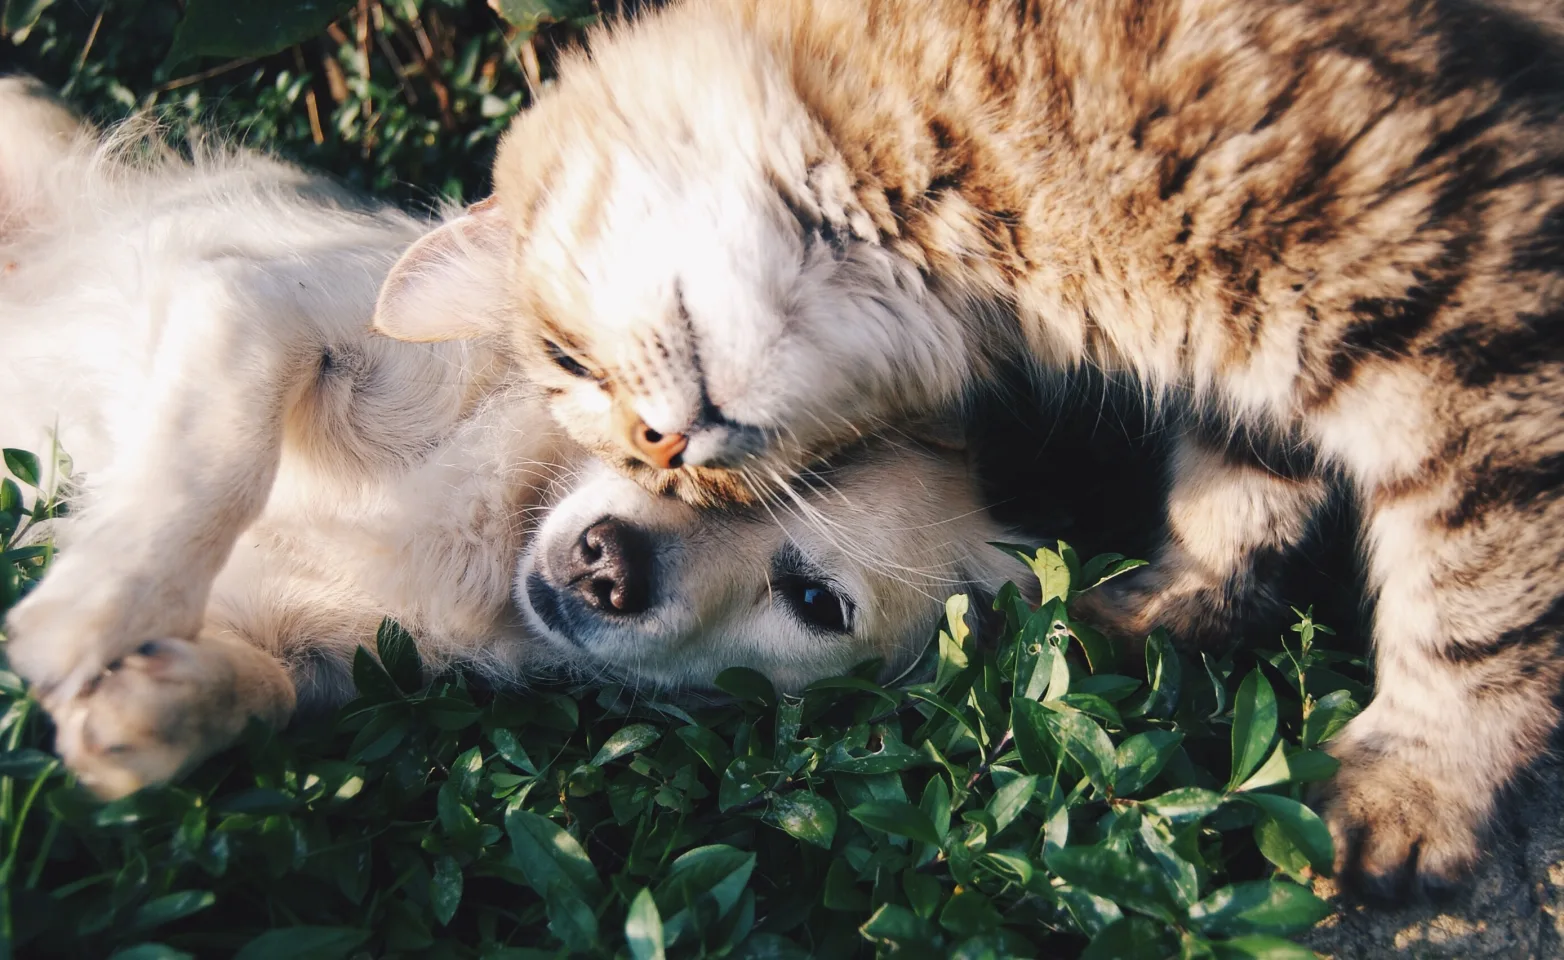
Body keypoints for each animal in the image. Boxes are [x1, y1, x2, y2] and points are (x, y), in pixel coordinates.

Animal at [0, 78, 1025, 806]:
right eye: (667, 436)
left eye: (815, 602)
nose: (609, 564)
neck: (498, 526)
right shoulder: (259, 306)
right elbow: (215, 466)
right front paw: (94, 611)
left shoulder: (324, 652)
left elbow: (270, 692)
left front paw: (153, 709)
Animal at [372, 1, 1564, 900]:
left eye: (567, 359)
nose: (663, 452)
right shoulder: (1259, 358)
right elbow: (1234, 496)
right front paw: (1162, 612)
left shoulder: (1468, 317)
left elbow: (1475, 609)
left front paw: (1415, 786)